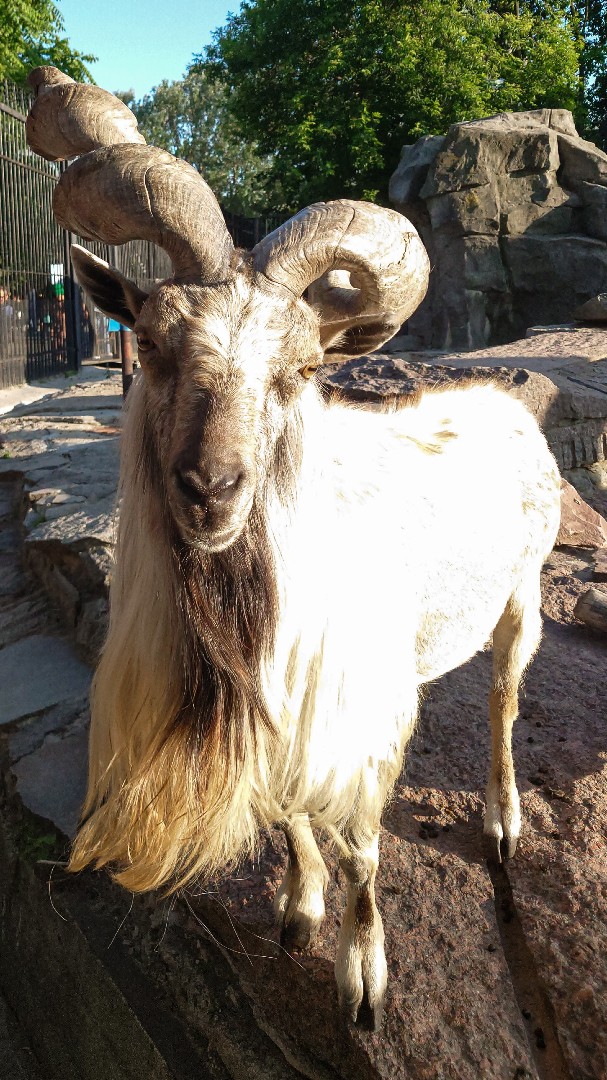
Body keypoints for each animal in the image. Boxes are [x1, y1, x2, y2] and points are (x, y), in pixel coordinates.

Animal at [27, 67, 561, 1030]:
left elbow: (361, 851)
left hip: (520, 596)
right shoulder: (282, 716)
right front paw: (297, 907)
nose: (211, 490)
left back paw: (502, 822)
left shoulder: (351, 723)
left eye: (302, 369)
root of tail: (505, 403)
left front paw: (362, 979)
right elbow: (287, 818)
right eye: (151, 345)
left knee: (503, 703)